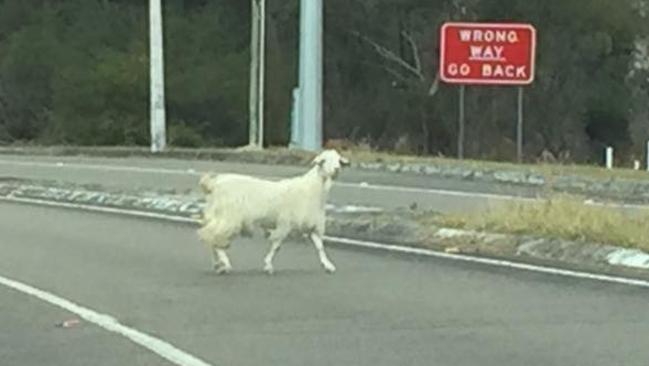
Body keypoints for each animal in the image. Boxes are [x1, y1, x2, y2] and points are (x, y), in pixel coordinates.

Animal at [196, 149, 350, 274]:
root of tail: (213, 184)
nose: (337, 169)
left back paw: (219, 265)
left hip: (221, 217)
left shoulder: (311, 224)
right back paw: (224, 264)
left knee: (212, 238)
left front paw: (328, 265)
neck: (313, 188)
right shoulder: (285, 223)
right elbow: (276, 246)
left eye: (338, 160)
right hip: (228, 217)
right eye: (324, 161)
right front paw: (268, 265)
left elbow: (320, 247)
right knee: (214, 237)